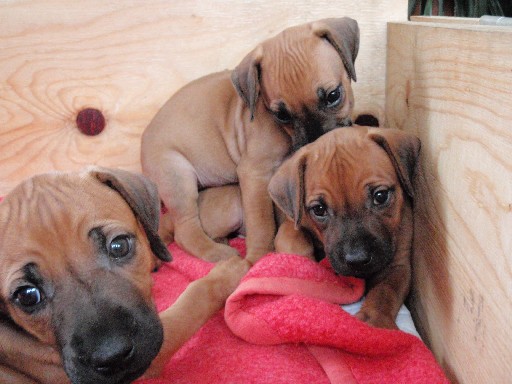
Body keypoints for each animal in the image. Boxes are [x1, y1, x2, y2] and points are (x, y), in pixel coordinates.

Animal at [0, 168, 248, 384]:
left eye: (119, 246)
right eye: (27, 296)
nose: (113, 356)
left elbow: (159, 227)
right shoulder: (154, 353)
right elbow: (194, 299)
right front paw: (228, 272)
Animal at [141, 17, 360, 264]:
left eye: (333, 95)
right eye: (281, 114)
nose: (315, 143)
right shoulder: (254, 173)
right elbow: (262, 223)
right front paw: (259, 257)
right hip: (177, 177)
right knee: (185, 230)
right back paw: (219, 252)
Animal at [268, 125, 420, 328]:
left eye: (380, 196)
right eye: (319, 209)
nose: (357, 260)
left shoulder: (398, 265)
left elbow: (386, 291)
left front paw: (375, 321)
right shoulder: (291, 224)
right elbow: (293, 240)